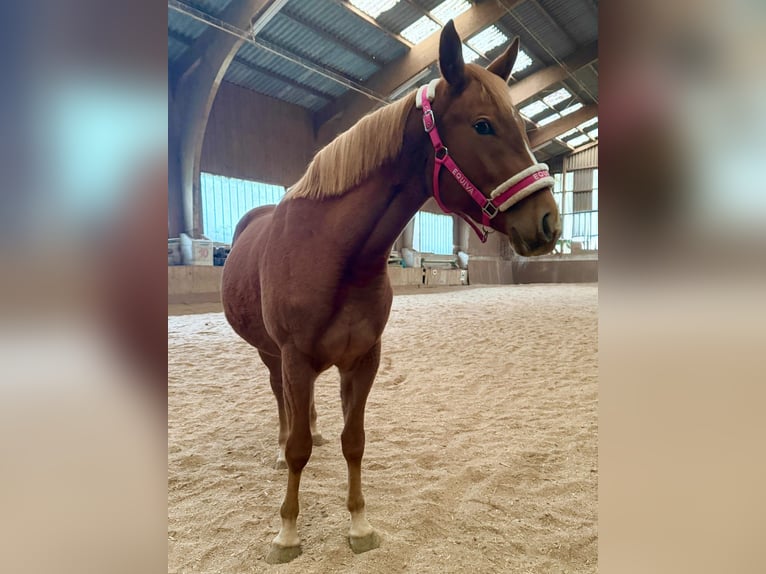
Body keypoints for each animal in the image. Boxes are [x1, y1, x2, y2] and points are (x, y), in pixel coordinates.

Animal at [221, 21, 562, 564]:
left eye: (524, 128)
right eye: (483, 125)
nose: (548, 222)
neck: (335, 256)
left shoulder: (363, 360)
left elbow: (353, 440)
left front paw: (360, 525)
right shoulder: (295, 357)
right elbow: (298, 449)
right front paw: (287, 533)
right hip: (272, 355)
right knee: (281, 404)